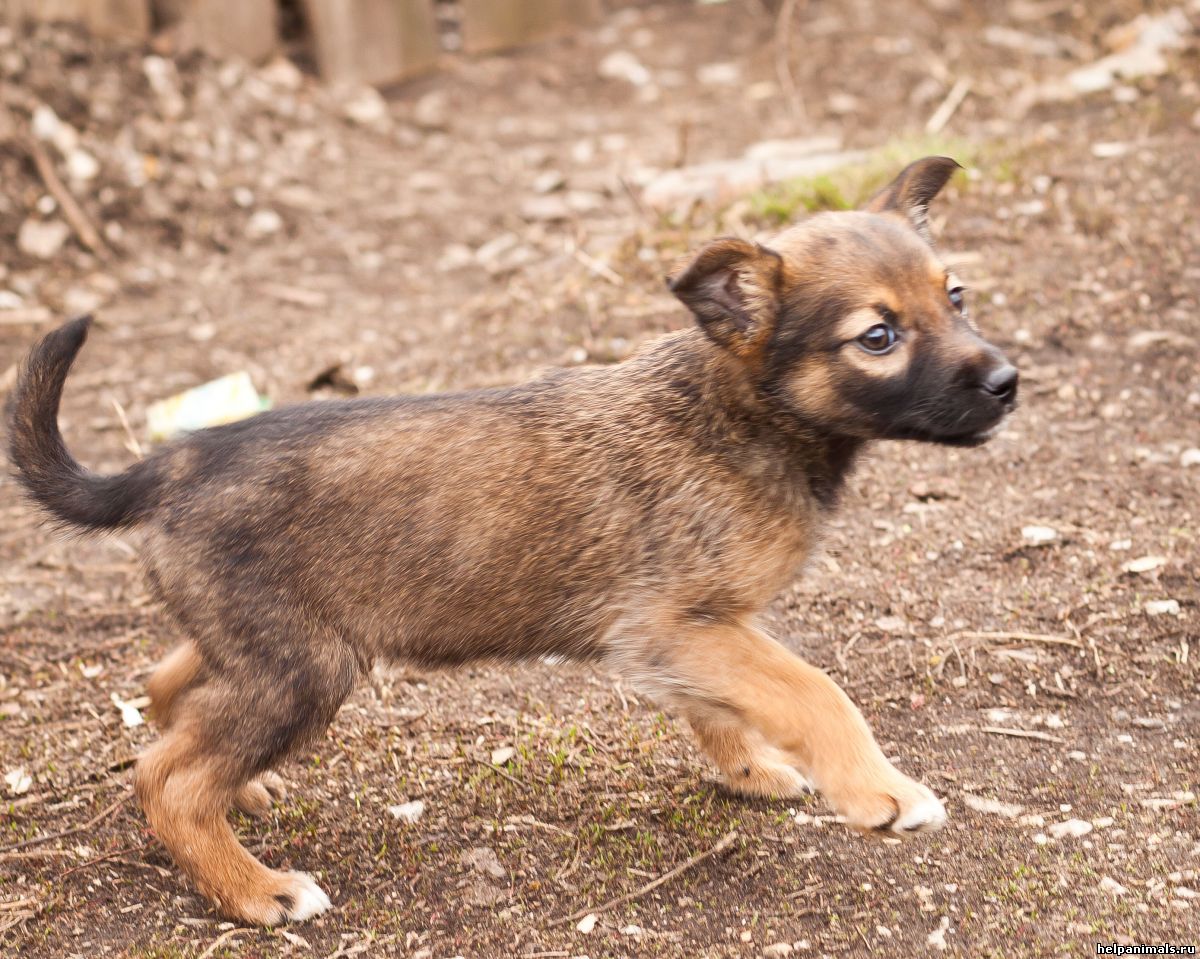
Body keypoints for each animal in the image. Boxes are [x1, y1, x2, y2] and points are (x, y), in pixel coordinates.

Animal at [9, 159, 1017, 931]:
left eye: (957, 295)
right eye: (878, 336)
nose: (1009, 380)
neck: (736, 413)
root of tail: (169, 461)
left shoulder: (701, 632)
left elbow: (731, 705)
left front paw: (750, 769)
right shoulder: (677, 626)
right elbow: (816, 691)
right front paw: (878, 790)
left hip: (269, 645)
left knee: (167, 686)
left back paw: (242, 797)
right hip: (306, 667)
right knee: (166, 778)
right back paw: (254, 890)